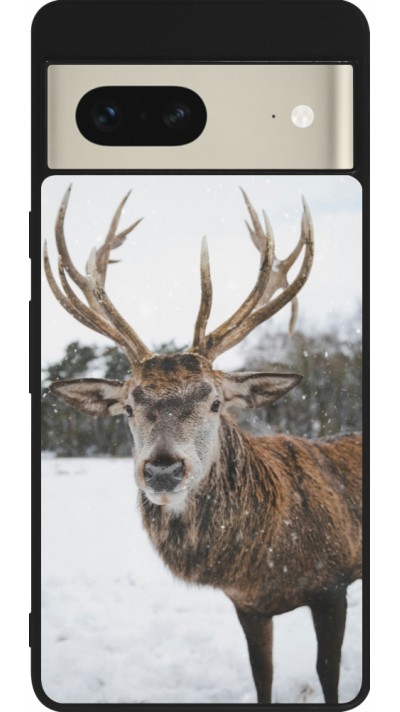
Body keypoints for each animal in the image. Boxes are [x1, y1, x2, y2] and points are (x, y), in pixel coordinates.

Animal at [43, 186, 362, 704]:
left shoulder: (333, 583)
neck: (265, 560)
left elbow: (328, 673)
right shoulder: (248, 604)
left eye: (215, 402)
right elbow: (262, 675)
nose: (162, 470)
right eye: (128, 406)